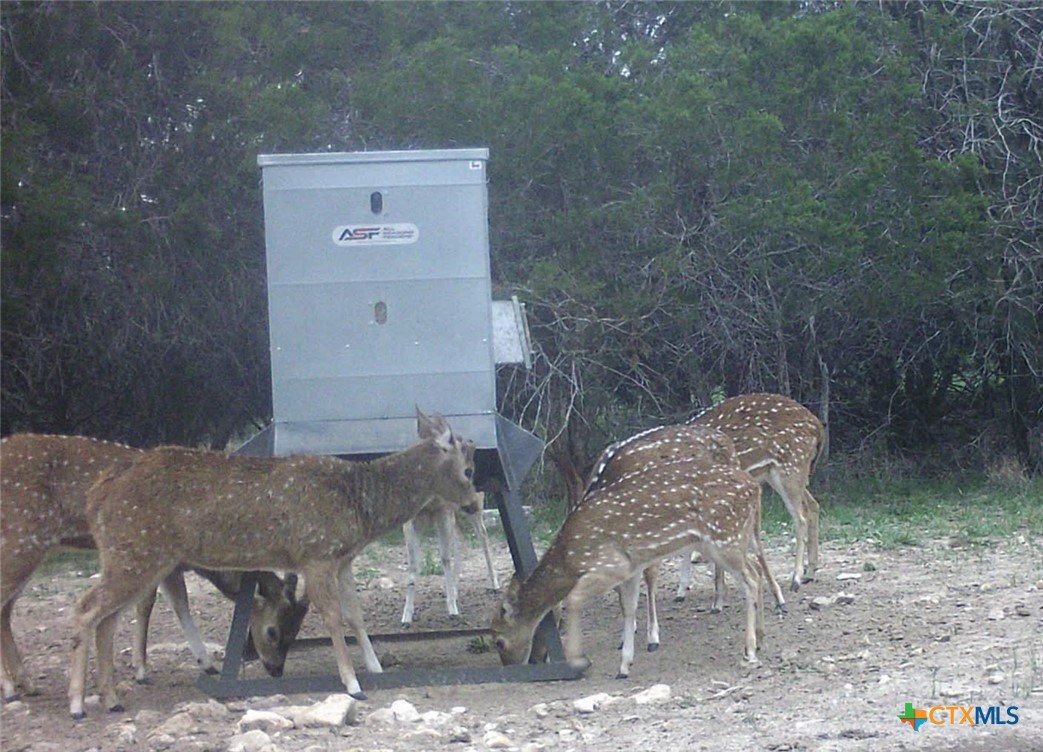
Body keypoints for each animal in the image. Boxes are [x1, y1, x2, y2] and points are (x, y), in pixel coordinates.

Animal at [0, 434, 307, 702]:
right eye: (273, 630)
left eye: (296, 629)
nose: (275, 669)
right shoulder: (164, 561)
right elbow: (154, 604)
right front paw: (143, 670)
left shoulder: (170, 565)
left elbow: (175, 602)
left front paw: (203, 663)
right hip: (20, 541)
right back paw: (12, 688)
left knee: (7, 610)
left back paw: (27, 684)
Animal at [68, 409, 482, 718]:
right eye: (468, 469)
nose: (475, 503)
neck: (360, 507)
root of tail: (97, 494)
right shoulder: (315, 554)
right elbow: (333, 617)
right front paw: (353, 684)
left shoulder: (342, 560)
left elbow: (356, 615)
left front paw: (376, 667)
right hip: (135, 552)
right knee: (86, 608)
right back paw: (77, 704)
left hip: (131, 556)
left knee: (107, 617)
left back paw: (112, 699)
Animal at [400, 492, 500, 626]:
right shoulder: (410, 520)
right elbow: (413, 565)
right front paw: (406, 617)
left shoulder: (444, 509)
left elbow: (445, 558)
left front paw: (453, 611)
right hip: (456, 514)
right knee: (460, 538)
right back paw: (455, 590)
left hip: (473, 504)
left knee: (482, 534)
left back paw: (494, 585)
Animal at [490, 425, 765, 679]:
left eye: (499, 641)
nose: (515, 667)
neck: (570, 555)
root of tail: (754, 486)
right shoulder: (631, 568)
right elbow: (629, 606)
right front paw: (624, 665)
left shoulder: (612, 565)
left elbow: (575, 598)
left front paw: (577, 659)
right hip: (727, 538)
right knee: (756, 568)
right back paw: (759, 637)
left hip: (724, 538)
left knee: (752, 577)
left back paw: (749, 649)